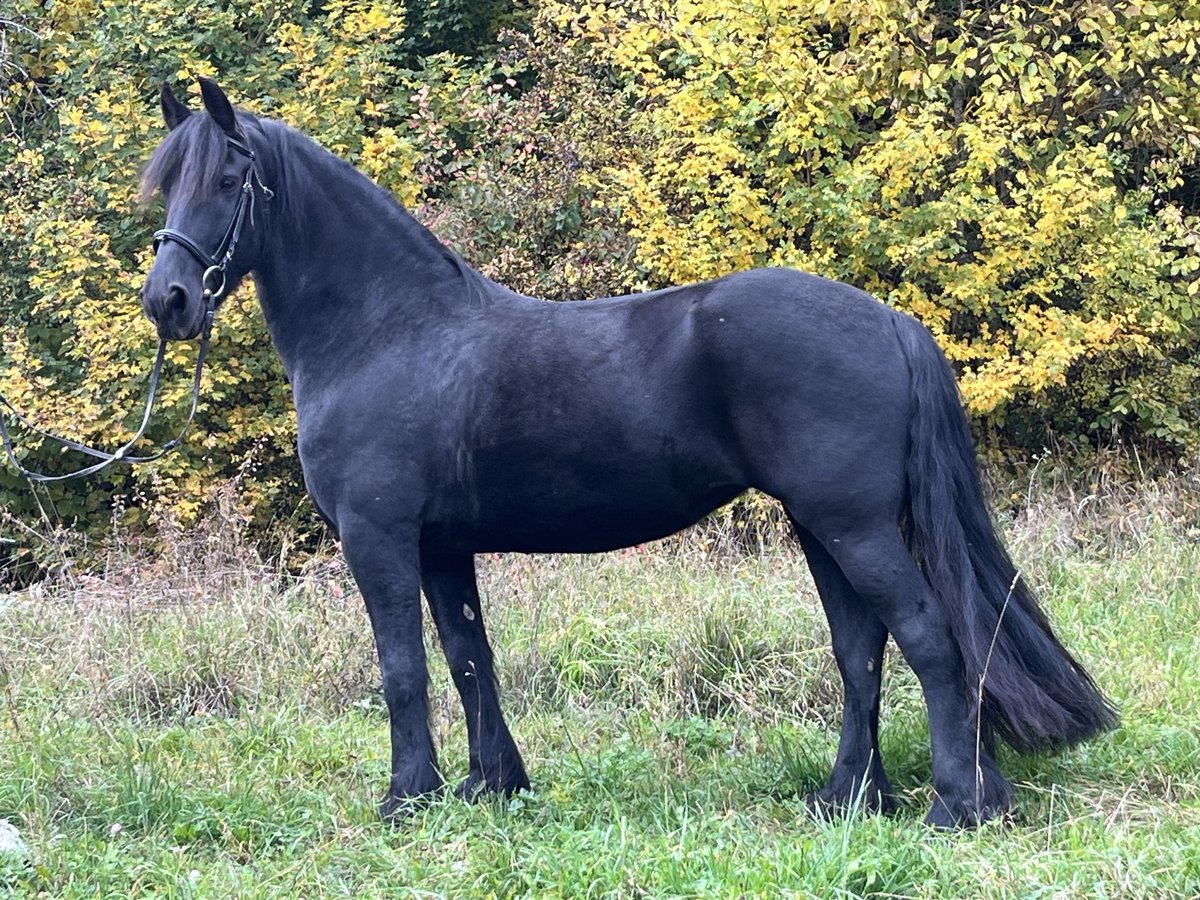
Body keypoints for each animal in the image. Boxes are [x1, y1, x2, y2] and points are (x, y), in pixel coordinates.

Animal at [139, 78, 1116, 828]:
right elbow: (467, 659)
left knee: (926, 638)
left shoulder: (377, 538)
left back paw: (957, 804)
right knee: (860, 651)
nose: (168, 300)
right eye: (167, 184)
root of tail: (885, 318)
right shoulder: (442, 547)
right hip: (824, 528)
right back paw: (846, 798)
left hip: (855, 527)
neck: (388, 330)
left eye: (230, 176)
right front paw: (491, 785)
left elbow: (402, 669)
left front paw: (407, 797)